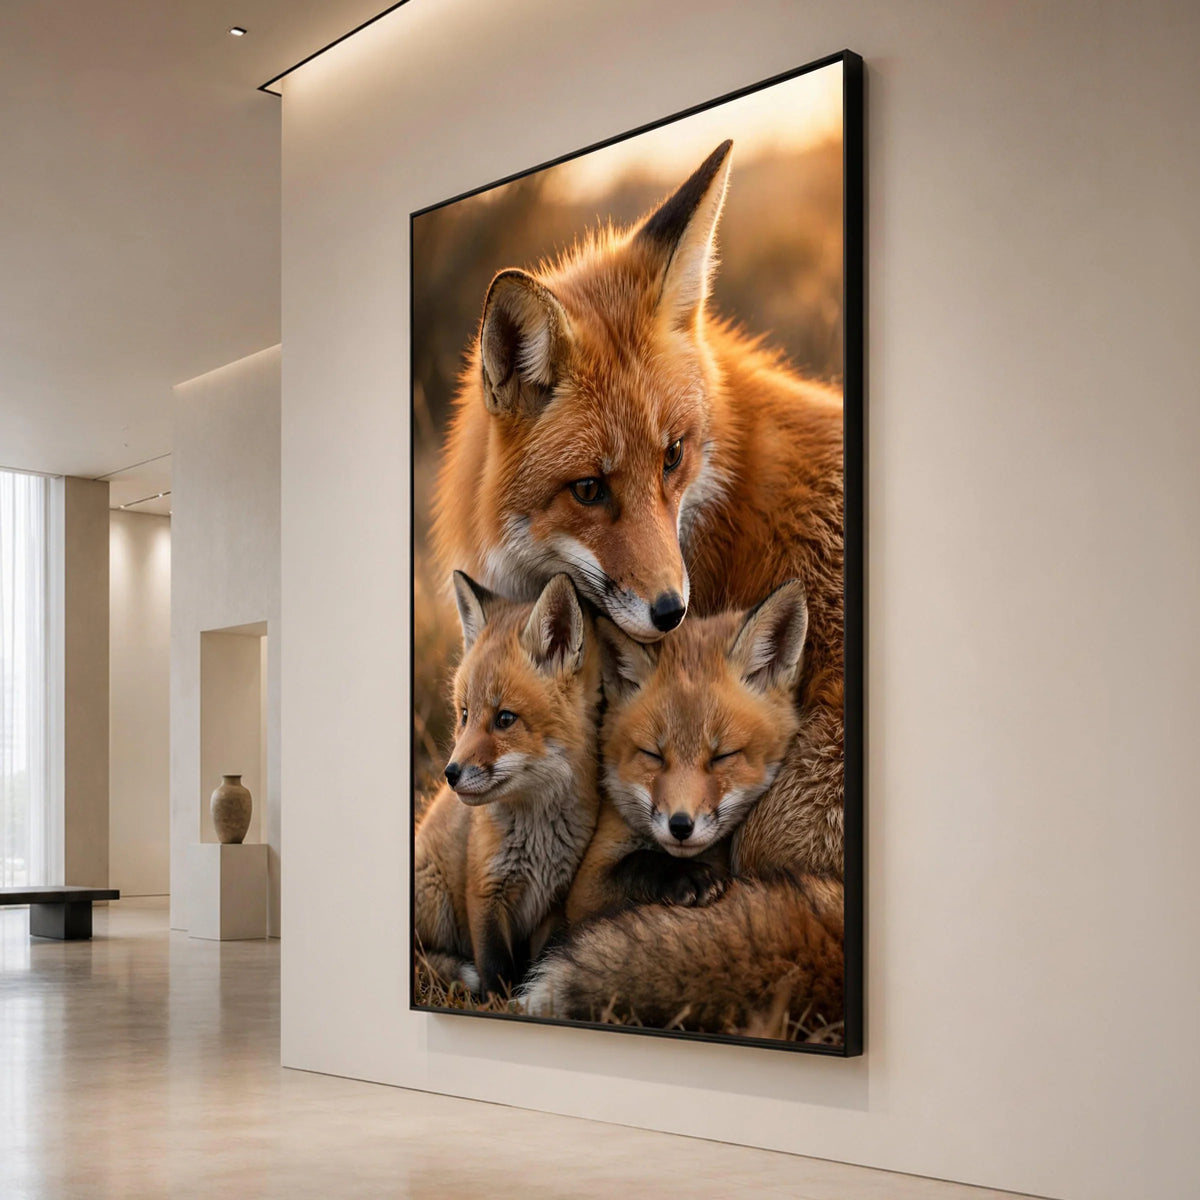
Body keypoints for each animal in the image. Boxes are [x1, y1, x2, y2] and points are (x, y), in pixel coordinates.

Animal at [413, 571, 601, 999]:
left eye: (505, 719)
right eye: (465, 714)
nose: (450, 773)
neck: (538, 838)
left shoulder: (552, 904)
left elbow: (536, 960)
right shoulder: (484, 891)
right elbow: (494, 966)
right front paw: (497, 1001)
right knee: (419, 955)